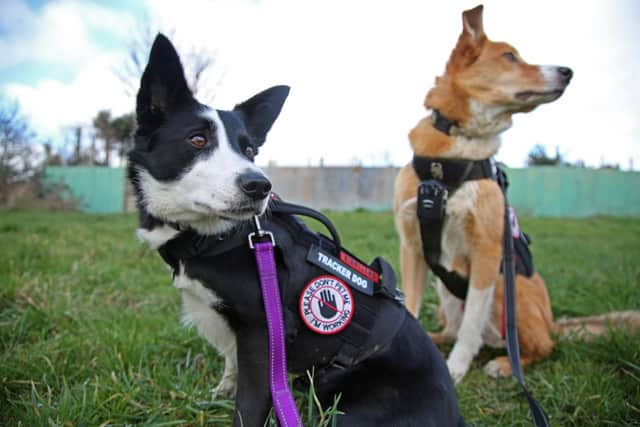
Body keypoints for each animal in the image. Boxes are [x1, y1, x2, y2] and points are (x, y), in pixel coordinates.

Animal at [129, 35, 464, 426]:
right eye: (197, 140)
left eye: (249, 149)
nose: (259, 186)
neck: (217, 237)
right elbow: (231, 367)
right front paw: (219, 393)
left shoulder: (262, 334)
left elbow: (250, 402)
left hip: (350, 414)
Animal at [392, 4, 636, 384]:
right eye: (509, 56)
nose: (568, 71)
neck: (450, 159)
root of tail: (552, 322)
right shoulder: (412, 247)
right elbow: (412, 309)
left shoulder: (488, 253)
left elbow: (471, 326)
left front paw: (455, 369)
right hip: (446, 290)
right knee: (453, 328)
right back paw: (435, 339)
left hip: (508, 291)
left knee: (541, 346)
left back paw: (505, 364)